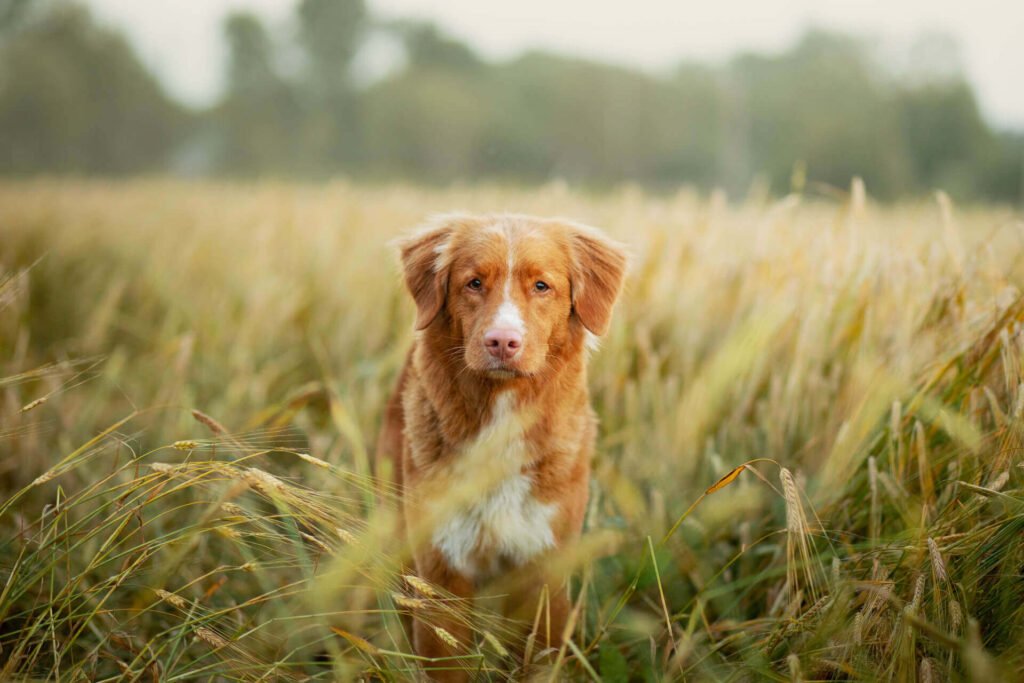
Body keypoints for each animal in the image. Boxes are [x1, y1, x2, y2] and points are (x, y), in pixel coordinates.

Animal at [376, 214, 622, 679]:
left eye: (541, 286)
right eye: (473, 283)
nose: (502, 342)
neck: (501, 416)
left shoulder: (543, 568)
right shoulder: (440, 570)